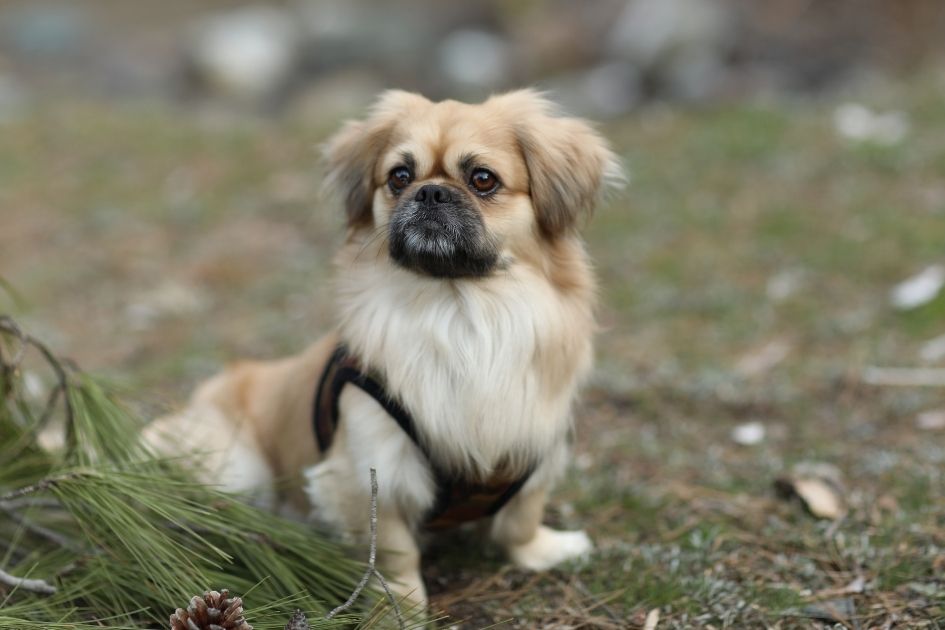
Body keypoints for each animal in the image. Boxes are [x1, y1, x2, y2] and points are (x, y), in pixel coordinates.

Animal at [144, 89, 624, 608]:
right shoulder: (370, 471)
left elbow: (520, 520)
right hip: (237, 465)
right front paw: (402, 607)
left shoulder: (534, 445)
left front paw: (544, 551)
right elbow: (394, 552)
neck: (458, 311)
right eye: (400, 177)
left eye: (482, 179)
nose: (430, 192)